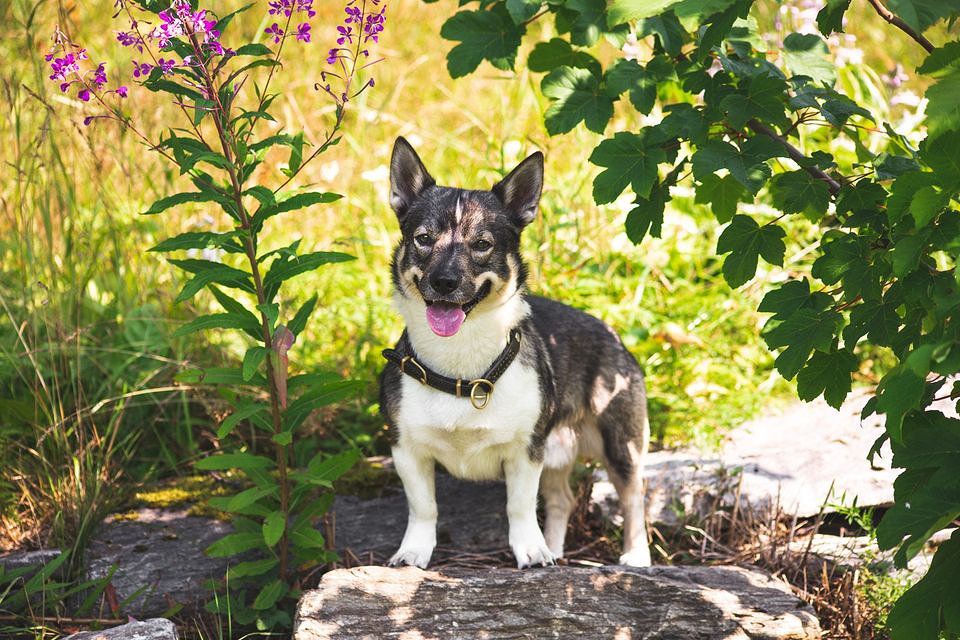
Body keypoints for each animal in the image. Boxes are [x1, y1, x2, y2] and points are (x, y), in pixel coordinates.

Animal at [376, 138, 652, 568]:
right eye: (423, 239)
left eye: (482, 245)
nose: (444, 281)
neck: (461, 367)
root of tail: (614, 336)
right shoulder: (407, 450)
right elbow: (424, 508)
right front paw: (413, 551)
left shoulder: (527, 452)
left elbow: (519, 506)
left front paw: (530, 551)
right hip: (558, 452)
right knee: (562, 499)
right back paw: (556, 547)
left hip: (620, 443)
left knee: (634, 495)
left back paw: (635, 555)